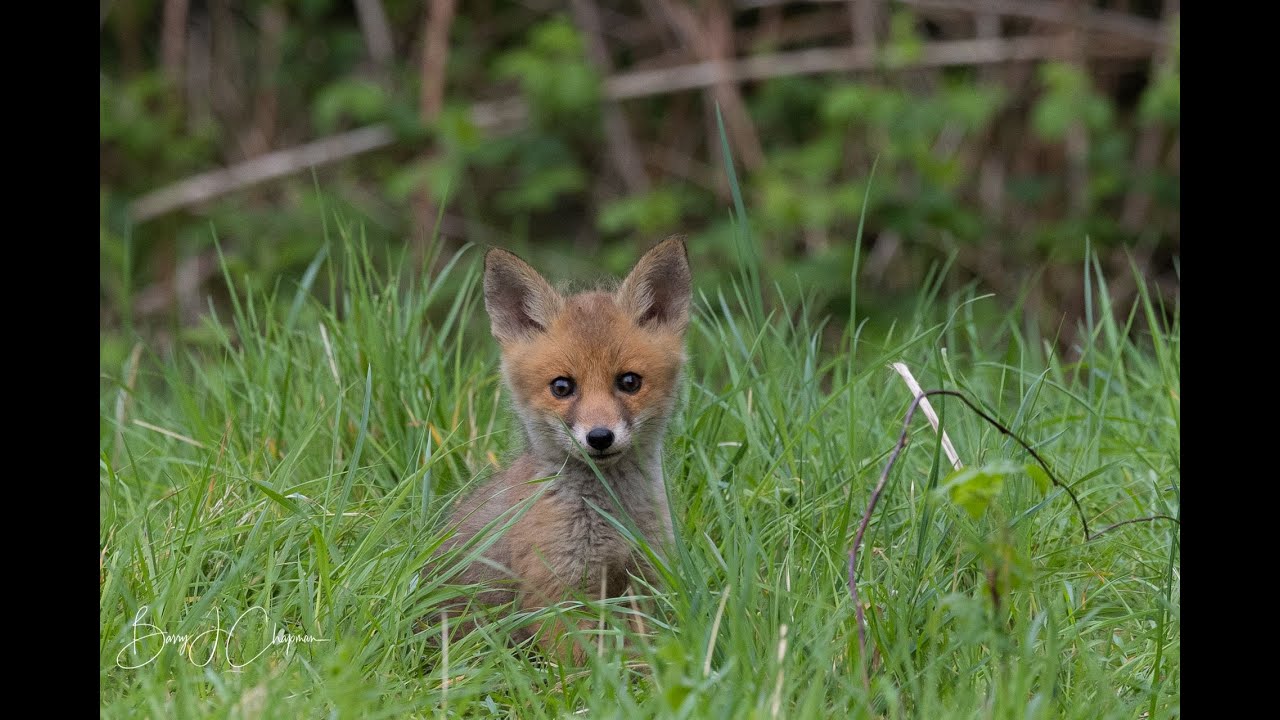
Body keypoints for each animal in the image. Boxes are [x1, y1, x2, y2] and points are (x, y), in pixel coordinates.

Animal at [424, 235, 692, 664]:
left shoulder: (642, 581)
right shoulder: (556, 593)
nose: (599, 437)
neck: (611, 517)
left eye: (629, 382)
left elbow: (643, 654)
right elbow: (584, 665)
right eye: (562, 387)